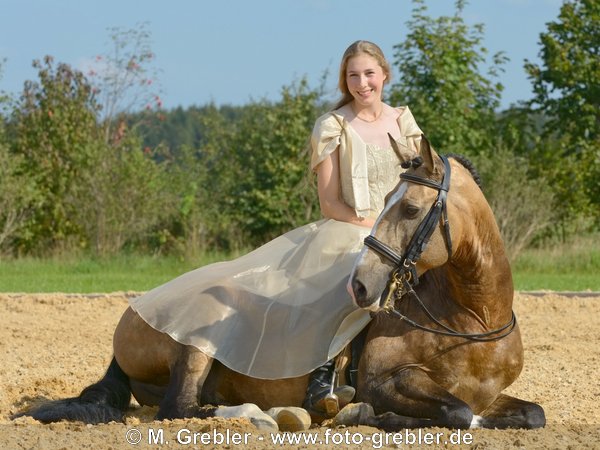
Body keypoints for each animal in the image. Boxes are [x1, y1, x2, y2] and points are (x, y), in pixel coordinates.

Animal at [19, 137, 544, 432]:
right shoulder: (385, 381)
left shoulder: (488, 393)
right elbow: (456, 413)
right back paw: (263, 416)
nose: (360, 288)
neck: (473, 318)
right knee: (179, 407)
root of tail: (136, 307)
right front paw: (366, 416)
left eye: (411, 209)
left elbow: (527, 413)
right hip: (198, 340)